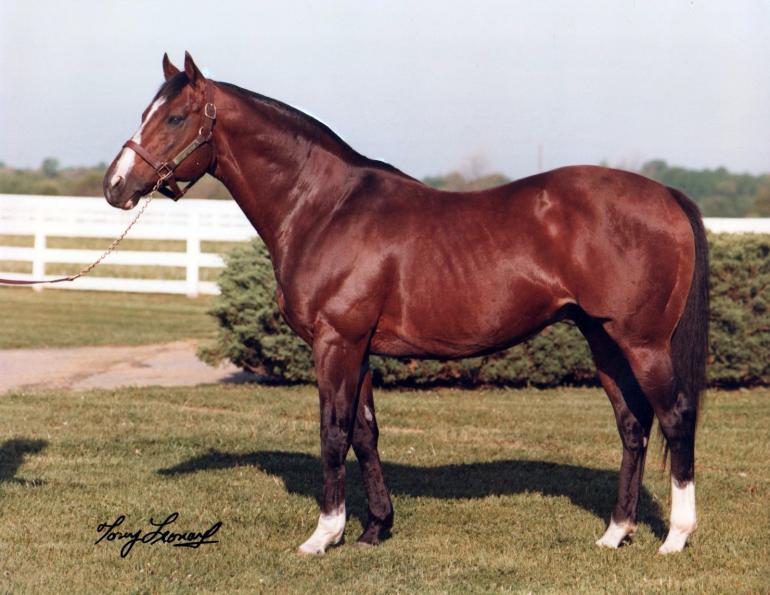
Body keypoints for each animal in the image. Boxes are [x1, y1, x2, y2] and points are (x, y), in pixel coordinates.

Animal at [104, 53, 708, 555]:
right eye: (144, 112)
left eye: (176, 118)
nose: (115, 186)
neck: (326, 207)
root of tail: (666, 195)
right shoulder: (360, 348)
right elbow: (365, 433)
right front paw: (375, 528)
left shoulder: (336, 343)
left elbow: (333, 433)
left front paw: (324, 536)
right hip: (601, 337)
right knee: (633, 425)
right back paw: (614, 533)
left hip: (642, 343)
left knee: (676, 417)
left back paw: (675, 538)